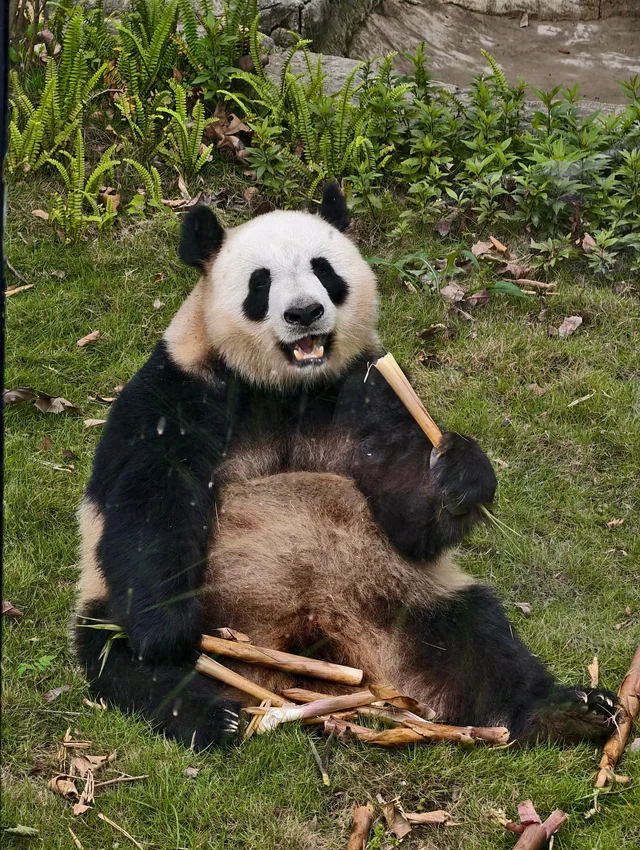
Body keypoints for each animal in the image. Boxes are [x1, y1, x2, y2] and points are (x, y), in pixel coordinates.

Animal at [73, 183, 616, 750]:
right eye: (261, 282)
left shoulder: (363, 390)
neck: (285, 387)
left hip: (403, 599)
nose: (305, 312)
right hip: (135, 604)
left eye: (324, 270)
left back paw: (565, 712)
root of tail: (298, 656)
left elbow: (403, 508)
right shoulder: (178, 392)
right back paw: (209, 713)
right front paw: (167, 632)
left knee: (477, 639)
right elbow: (153, 496)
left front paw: (458, 474)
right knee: (123, 658)